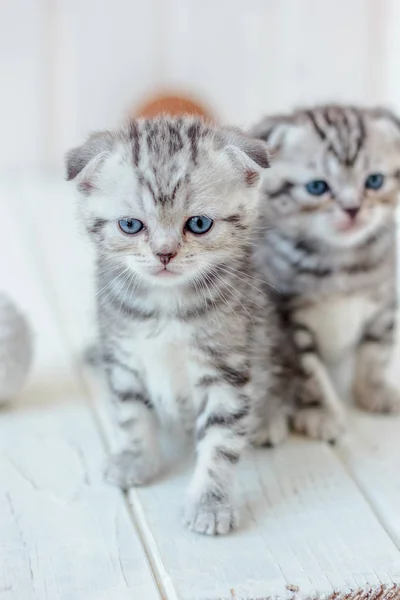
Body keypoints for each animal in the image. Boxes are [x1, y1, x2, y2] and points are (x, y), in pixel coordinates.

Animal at [66, 116, 284, 536]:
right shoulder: (123, 356)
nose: (164, 253)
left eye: (198, 224)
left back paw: (267, 419)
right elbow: (132, 415)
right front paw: (135, 458)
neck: (166, 306)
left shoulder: (228, 370)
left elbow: (220, 441)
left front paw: (210, 503)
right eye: (131, 225)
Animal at [250, 104, 400, 440]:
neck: (341, 261)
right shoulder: (286, 320)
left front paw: (374, 390)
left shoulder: (384, 301)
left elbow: (375, 351)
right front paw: (320, 412)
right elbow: (308, 371)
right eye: (317, 187)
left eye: (374, 181)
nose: (353, 209)